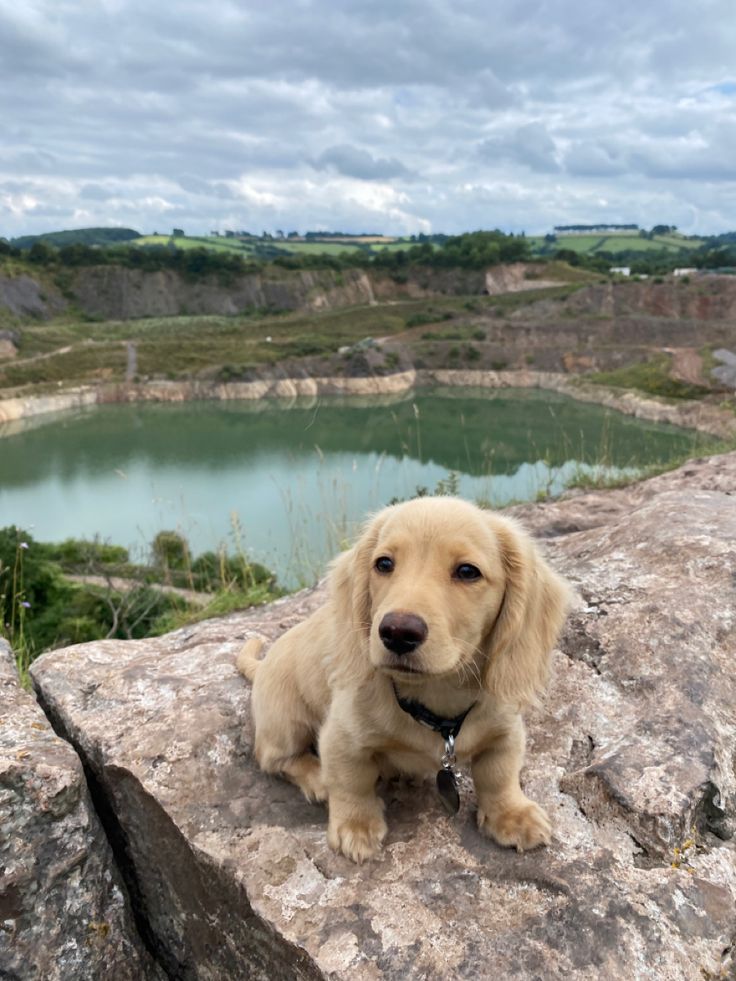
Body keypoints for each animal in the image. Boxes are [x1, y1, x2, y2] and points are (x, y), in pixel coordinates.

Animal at [239, 494, 572, 860]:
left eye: (467, 571)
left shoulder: (506, 729)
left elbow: (499, 773)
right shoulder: (341, 736)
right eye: (384, 564)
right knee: (274, 758)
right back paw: (315, 776)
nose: (397, 632)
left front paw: (512, 814)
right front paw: (356, 825)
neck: (435, 698)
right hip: (285, 721)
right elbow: (350, 780)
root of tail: (262, 666)